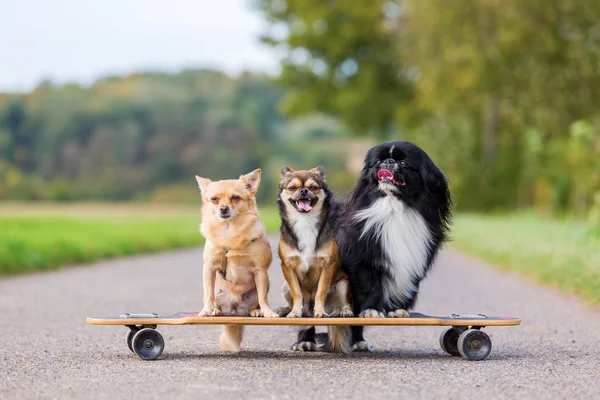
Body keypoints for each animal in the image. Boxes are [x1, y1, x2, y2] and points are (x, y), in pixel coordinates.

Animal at [330, 140, 452, 350]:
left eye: (403, 163)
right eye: (378, 161)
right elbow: (371, 287)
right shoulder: (363, 263)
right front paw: (372, 311)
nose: (388, 161)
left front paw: (395, 311)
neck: (395, 209)